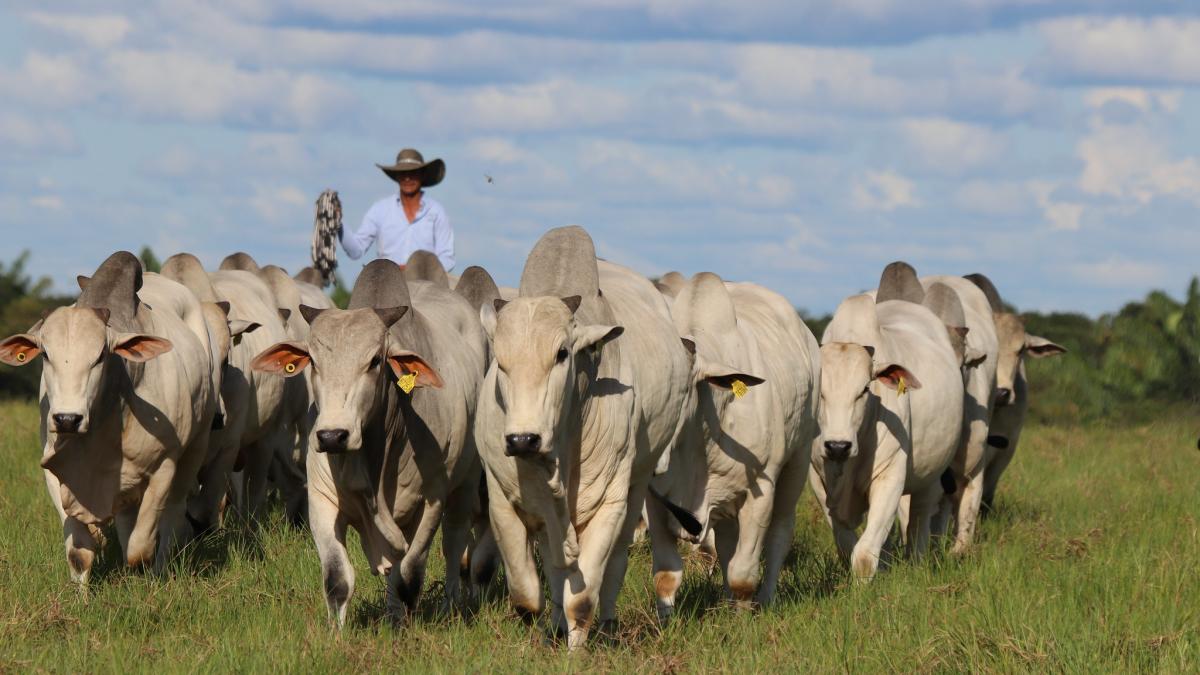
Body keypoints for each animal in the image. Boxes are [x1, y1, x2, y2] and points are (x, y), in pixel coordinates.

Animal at [1, 251, 216, 578]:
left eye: (101, 355)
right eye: (46, 354)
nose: (67, 419)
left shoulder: (165, 465)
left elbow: (140, 549)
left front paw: (147, 575)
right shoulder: (56, 471)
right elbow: (79, 553)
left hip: (196, 446)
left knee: (173, 516)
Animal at [472, 225, 691, 648]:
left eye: (561, 353)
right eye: (500, 362)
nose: (522, 440)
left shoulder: (608, 502)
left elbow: (583, 597)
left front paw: (575, 649)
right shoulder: (505, 500)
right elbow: (528, 594)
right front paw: (546, 630)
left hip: (636, 485)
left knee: (615, 565)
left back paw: (606, 625)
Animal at [648, 271, 825, 614]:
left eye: (679, 387)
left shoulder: (761, 492)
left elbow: (743, 575)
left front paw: (744, 618)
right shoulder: (654, 500)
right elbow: (666, 576)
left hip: (797, 462)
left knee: (780, 534)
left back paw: (766, 598)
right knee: (727, 544)